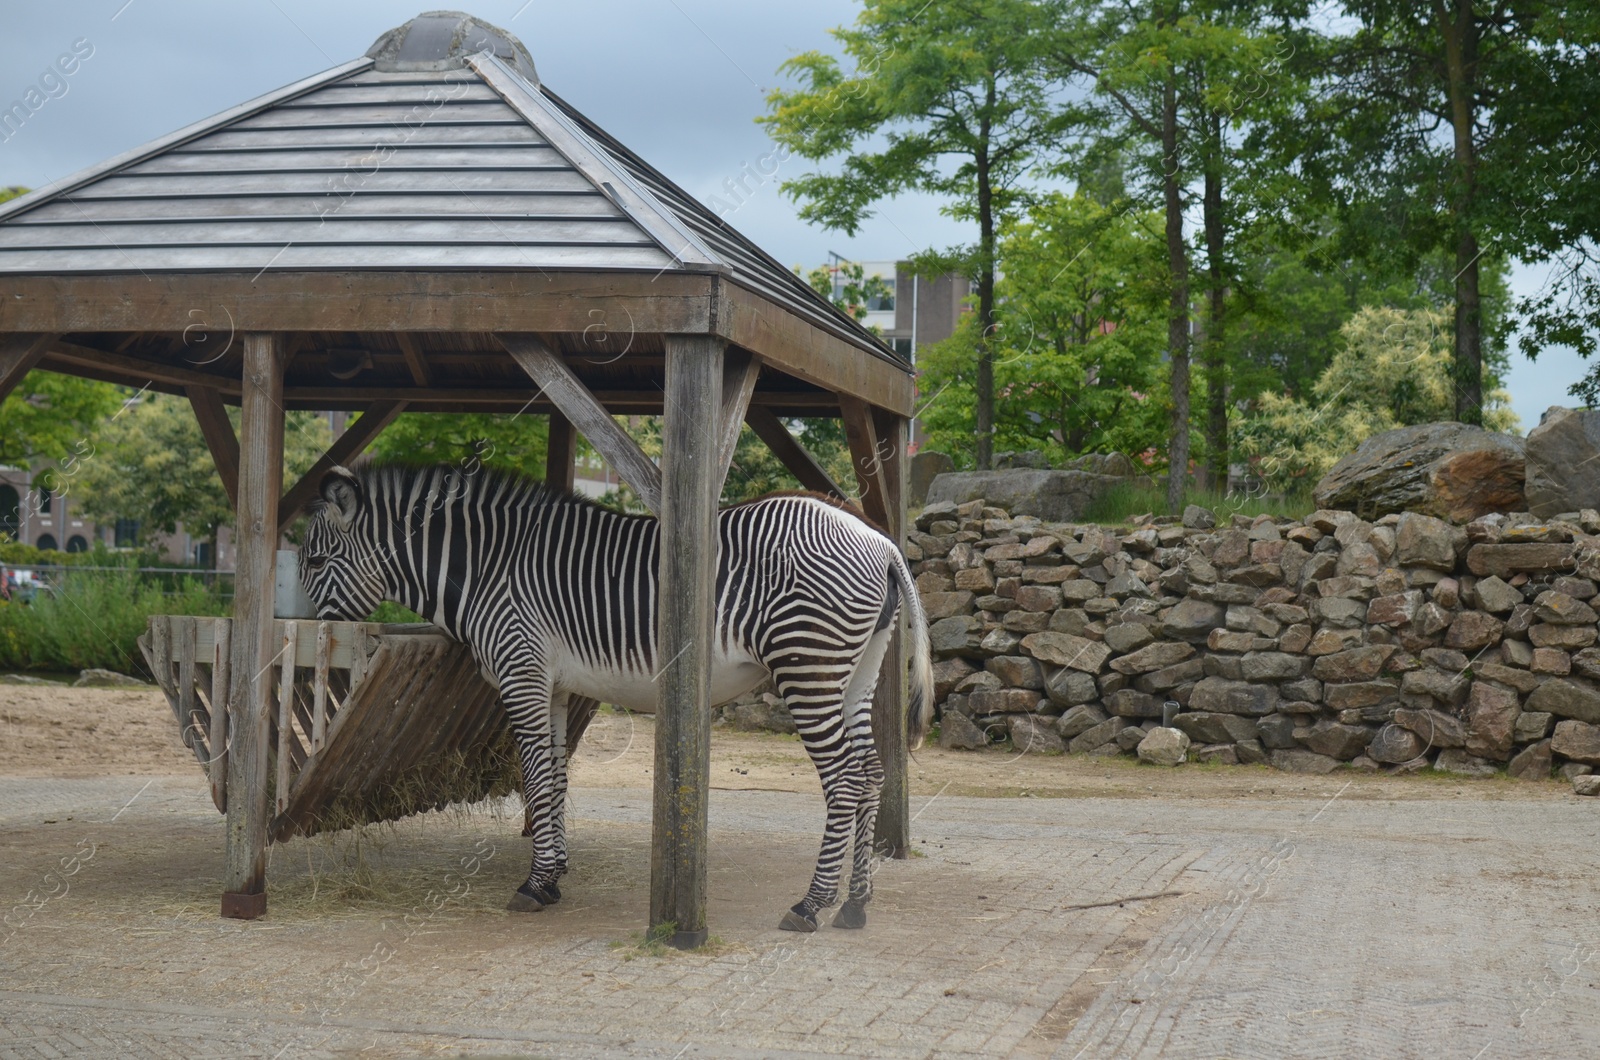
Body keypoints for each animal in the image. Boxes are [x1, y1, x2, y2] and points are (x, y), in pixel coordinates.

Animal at [297, 464, 934, 928]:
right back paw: (855, 904)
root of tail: (882, 541)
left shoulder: (521, 670)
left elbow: (535, 776)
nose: (311, 651)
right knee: (871, 773)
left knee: (844, 779)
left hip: (808, 663)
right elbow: (555, 776)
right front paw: (554, 876)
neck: (489, 568)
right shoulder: (552, 685)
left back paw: (812, 904)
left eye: (314, 560)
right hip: (858, 669)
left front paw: (534, 883)